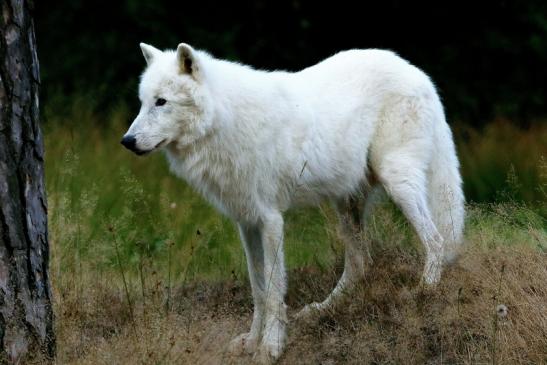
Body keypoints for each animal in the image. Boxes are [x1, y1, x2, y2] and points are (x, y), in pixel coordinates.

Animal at [122, 42, 464, 362]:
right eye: (143, 102)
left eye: (161, 102)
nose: (127, 141)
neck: (225, 120)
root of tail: (418, 73)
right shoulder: (247, 223)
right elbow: (258, 290)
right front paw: (252, 341)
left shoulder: (271, 220)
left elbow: (274, 291)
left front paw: (271, 347)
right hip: (347, 204)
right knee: (360, 263)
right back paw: (321, 309)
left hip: (397, 182)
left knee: (436, 241)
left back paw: (423, 293)